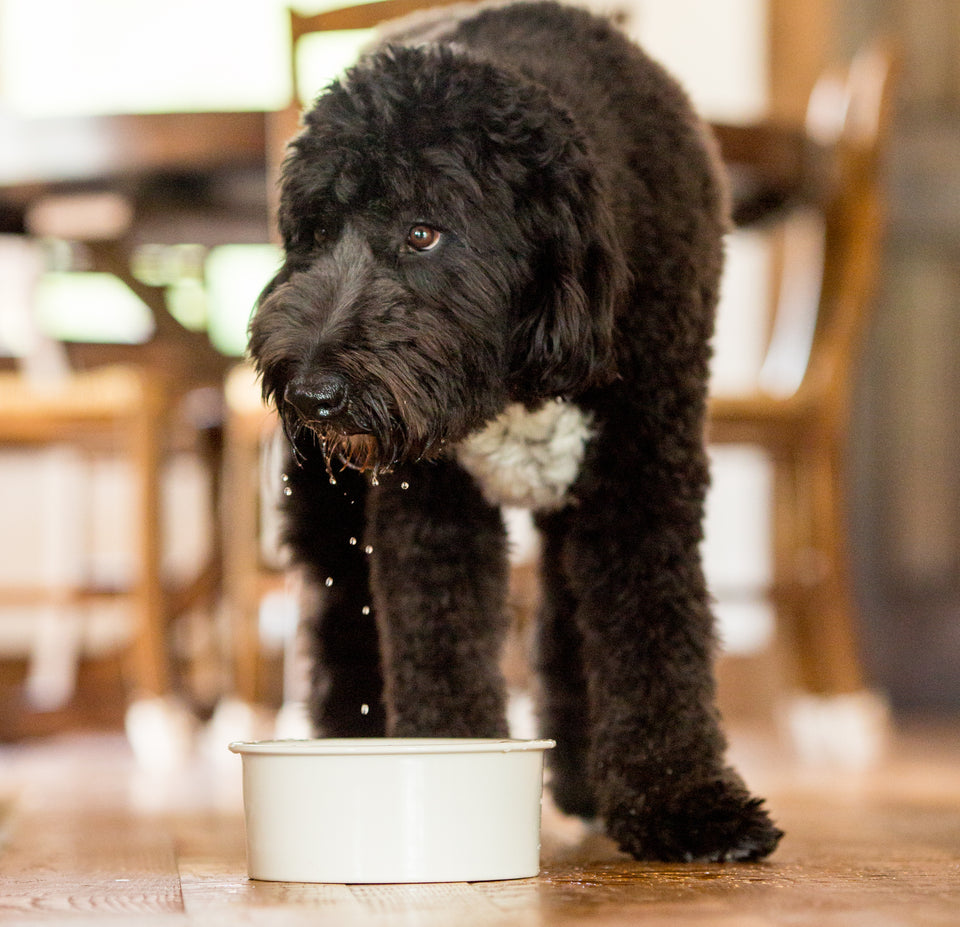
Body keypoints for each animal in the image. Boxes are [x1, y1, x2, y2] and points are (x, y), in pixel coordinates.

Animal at [251, 0, 784, 864]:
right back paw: (351, 735)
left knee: (569, 609)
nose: (311, 393)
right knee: (338, 619)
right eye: (317, 232)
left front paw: (684, 802)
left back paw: (585, 777)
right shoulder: (429, 499)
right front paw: (443, 768)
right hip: (327, 504)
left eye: (424, 232)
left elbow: (652, 626)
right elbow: (439, 631)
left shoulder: (644, 468)